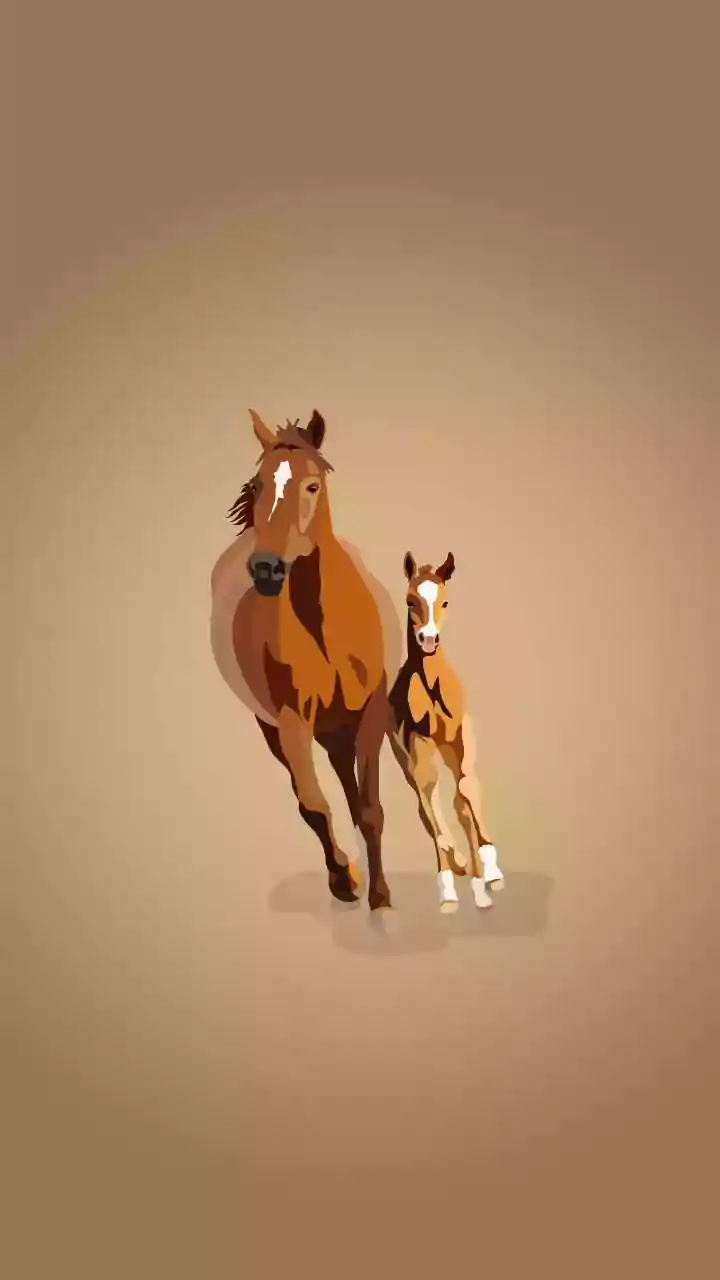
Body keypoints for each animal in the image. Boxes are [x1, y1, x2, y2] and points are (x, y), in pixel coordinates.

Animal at [210, 408, 401, 911]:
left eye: (312, 485)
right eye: (257, 485)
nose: (266, 569)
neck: (324, 629)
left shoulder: (371, 709)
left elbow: (370, 809)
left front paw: (381, 896)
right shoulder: (292, 720)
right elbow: (314, 805)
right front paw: (346, 880)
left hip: (340, 725)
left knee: (352, 790)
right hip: (282, 727)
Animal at [388, 551, 504, 913]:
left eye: (445, 601)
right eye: (410, 601)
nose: (428, 639)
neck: (432, 686)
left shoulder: (461, 735)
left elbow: (465, 792)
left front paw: (489, 875)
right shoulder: (419, 743)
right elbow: (431, 800)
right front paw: (450, 890)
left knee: (458, 801)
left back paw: (480, 876)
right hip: (406, 758)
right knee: (427, 806)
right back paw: (459, 865)